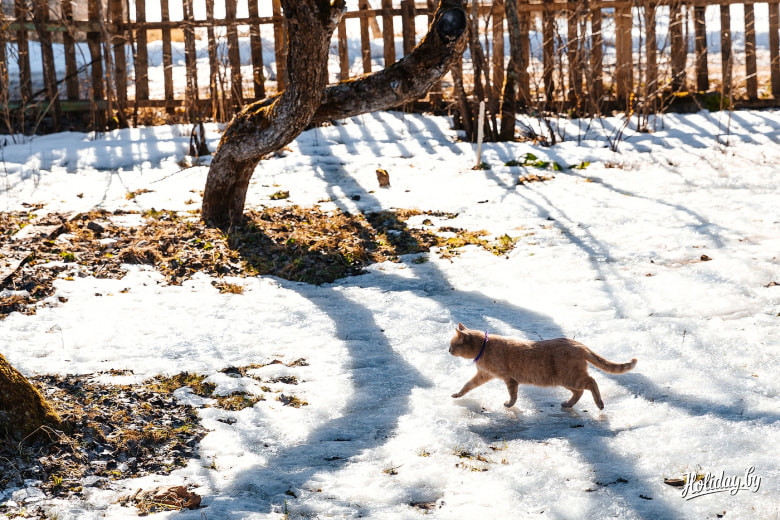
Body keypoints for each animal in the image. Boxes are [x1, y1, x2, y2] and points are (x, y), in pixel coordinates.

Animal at [449, 323, 637, 410]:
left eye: (452, 345)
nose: (448, 350)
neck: (484, 347)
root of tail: (579, 345)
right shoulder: (482, 375)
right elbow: (467, 385)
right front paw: (458, 394)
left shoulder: (510, 379)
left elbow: (513, 395)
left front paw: (509, 404)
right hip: (566, 380)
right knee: (580, 392)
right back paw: (568, 404)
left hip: (570, 377)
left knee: (592, 382)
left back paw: (599, 404)